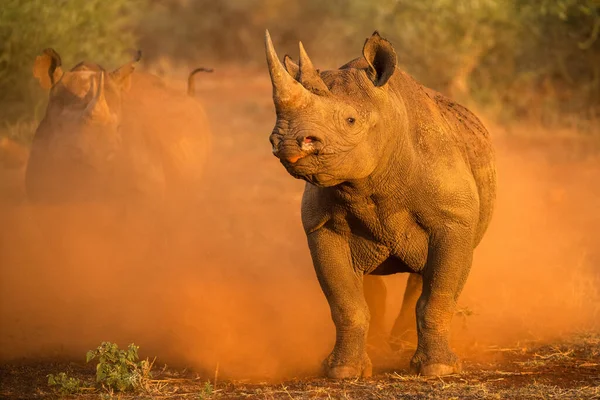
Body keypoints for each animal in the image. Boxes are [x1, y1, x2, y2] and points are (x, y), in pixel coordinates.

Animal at [264, 31, 494, 378]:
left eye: (350, 120)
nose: (288, 143)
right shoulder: (322, 226)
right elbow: (345, 303)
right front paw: (343, 372)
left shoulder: (454, 222)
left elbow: (438, 296)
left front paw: (439, 369)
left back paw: (402, 347)